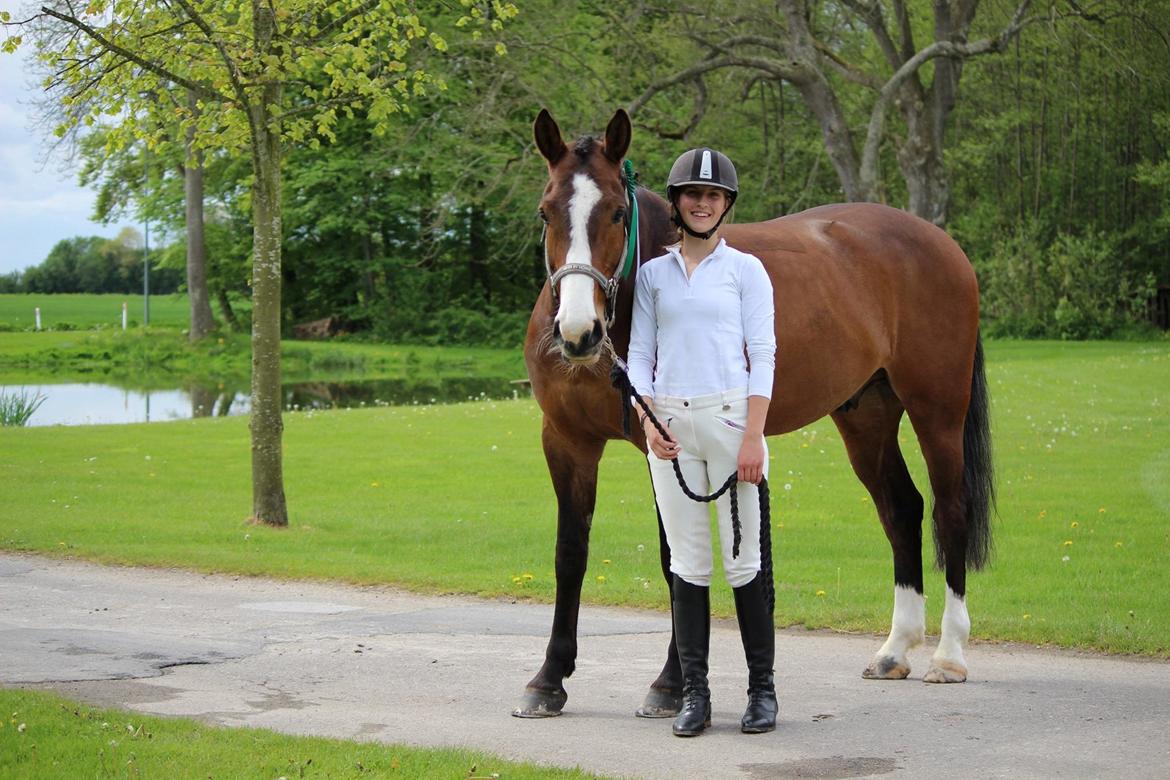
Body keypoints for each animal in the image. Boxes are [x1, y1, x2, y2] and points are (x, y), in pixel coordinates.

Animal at [517, 105, 992, 720]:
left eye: (617, 212)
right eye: (546, 210)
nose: (578, 333)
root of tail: (940, 243)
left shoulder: (662, 445)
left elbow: (676, 557)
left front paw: (669, 685)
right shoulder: (566, 440)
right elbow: (570, 553)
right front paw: (549, 679)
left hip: (938, 410)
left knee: (950, 511)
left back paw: (949, 655)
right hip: (866, 416)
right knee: (902, 509)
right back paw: (895, 650)